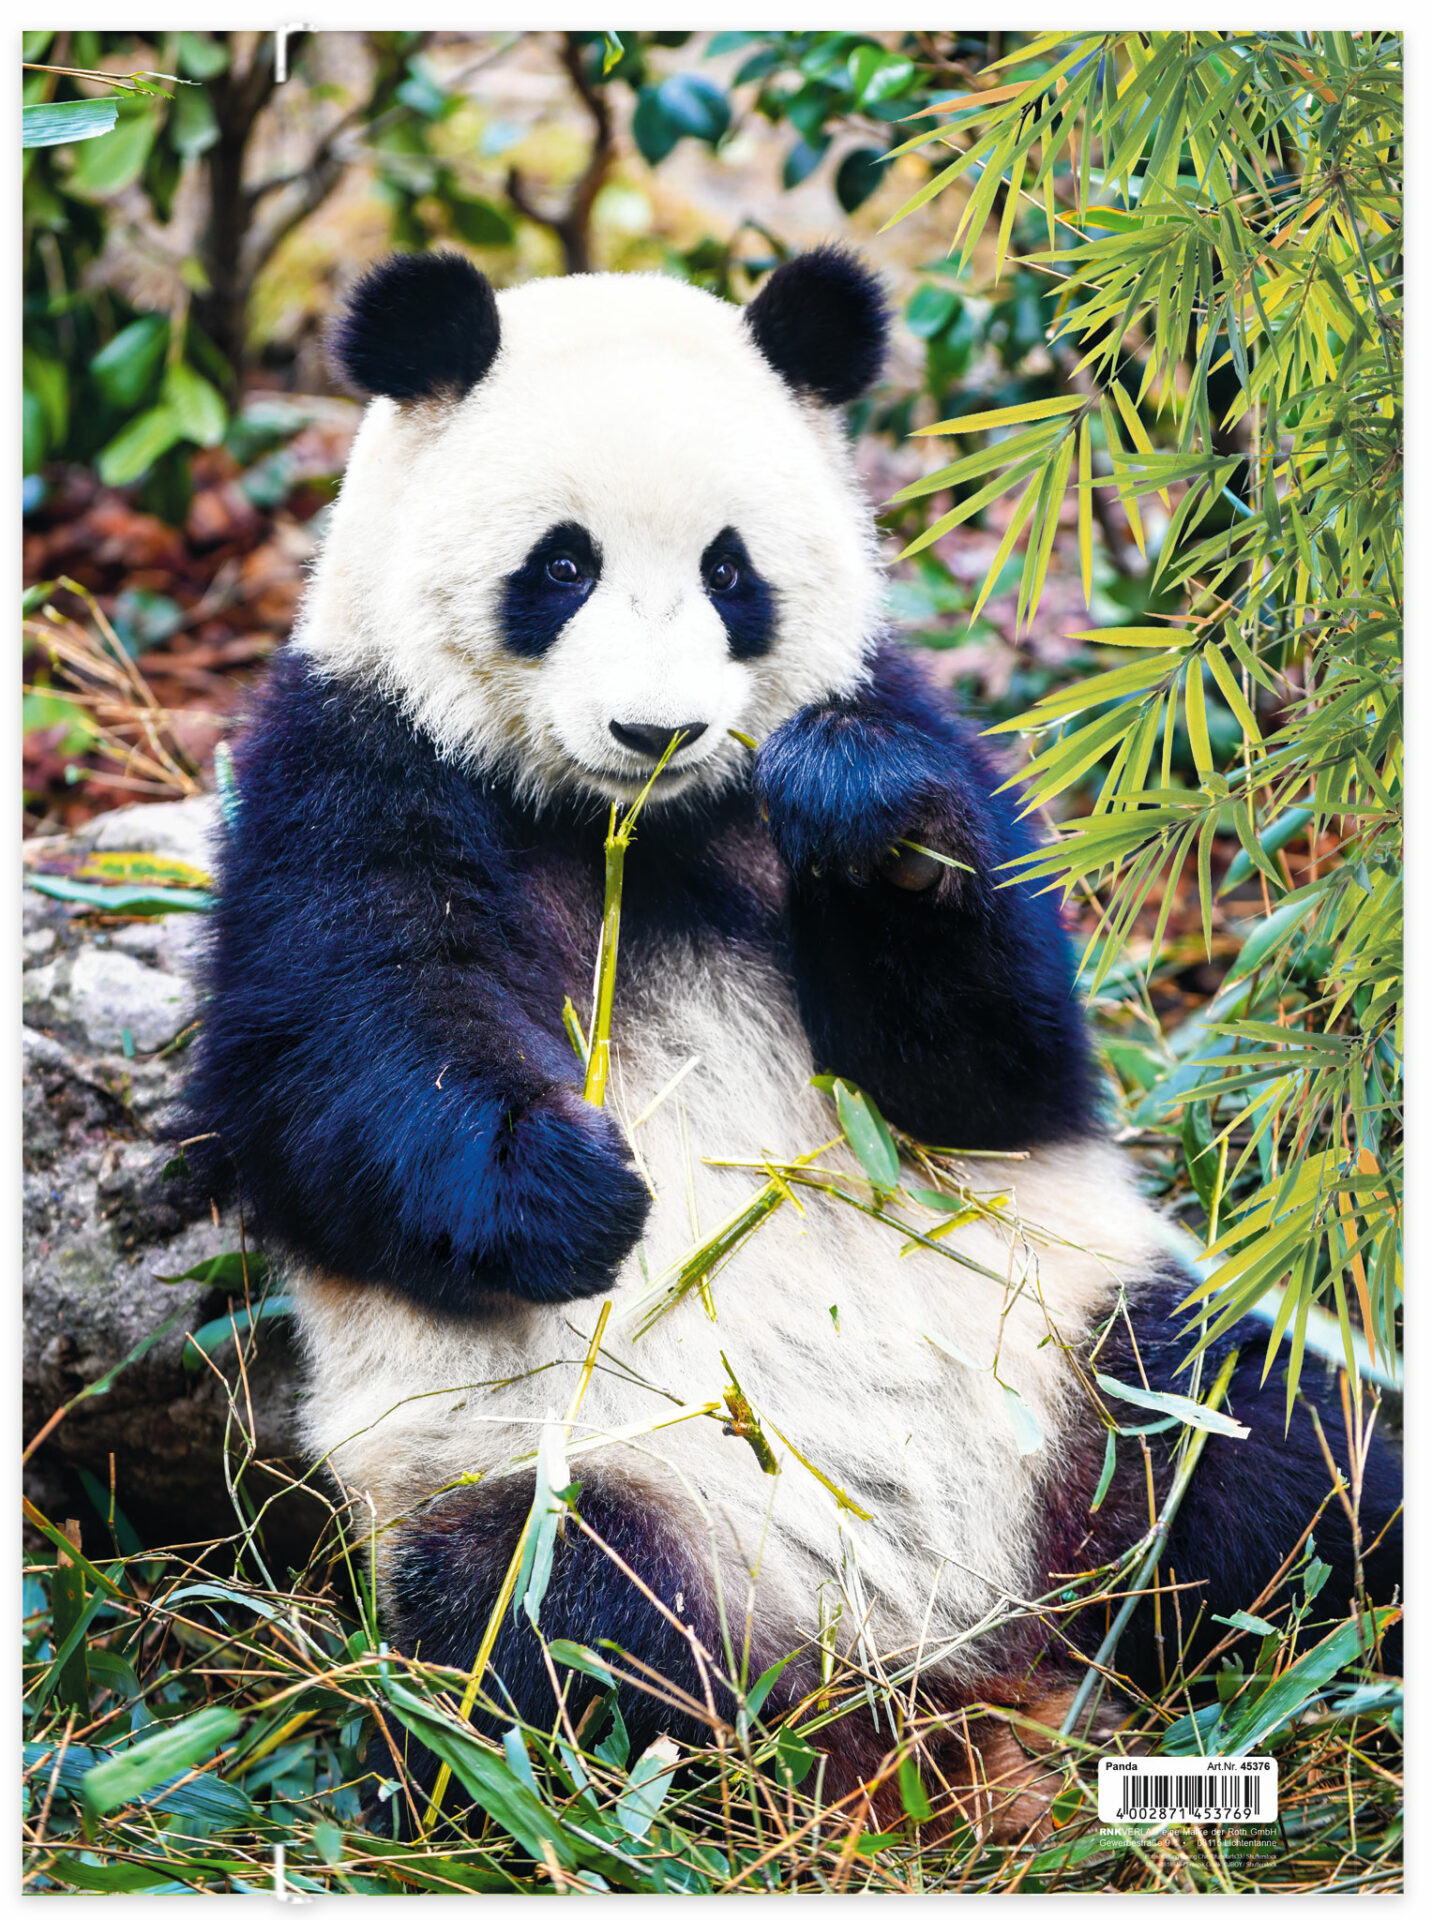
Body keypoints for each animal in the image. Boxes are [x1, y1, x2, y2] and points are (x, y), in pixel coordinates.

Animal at [178, 248, 1401, 1834]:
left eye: (730, 571)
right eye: (558, 567)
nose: (657, 730)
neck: (633, 831)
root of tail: (954, 1635)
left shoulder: (913, 721)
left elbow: (996, 1064)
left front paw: (866, 826)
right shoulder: (354, 762)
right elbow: (345, 1060)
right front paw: (571, 1192)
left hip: (1086, 1353)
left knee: (1280, 1451)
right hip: (550, 1471)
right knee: (554, 1634)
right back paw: (736, 1772)